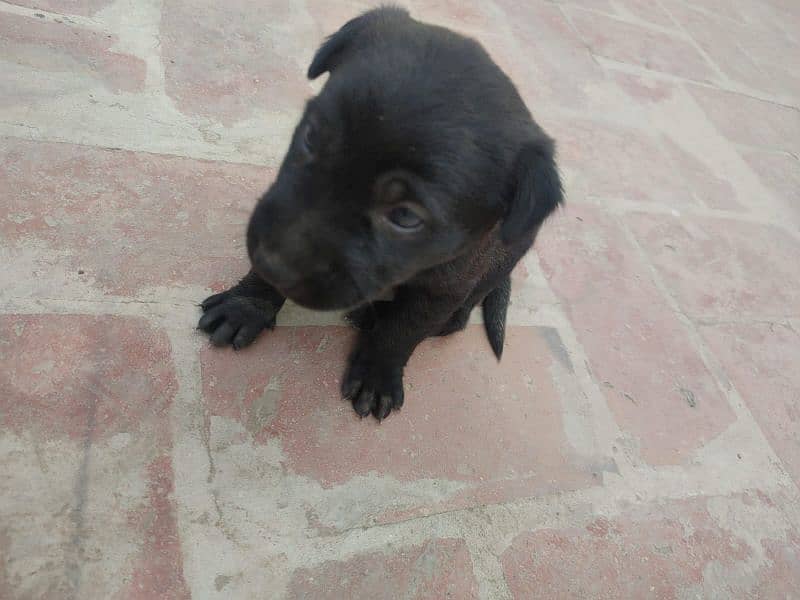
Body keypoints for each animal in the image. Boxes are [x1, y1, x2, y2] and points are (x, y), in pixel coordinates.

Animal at [199, 8, 564, 422]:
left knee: (458, 317)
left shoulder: (444, 288)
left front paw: (378, 373)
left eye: (405, 216)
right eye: (310, 138)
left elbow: (403, 331)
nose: (271, 261)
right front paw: (247, 304)